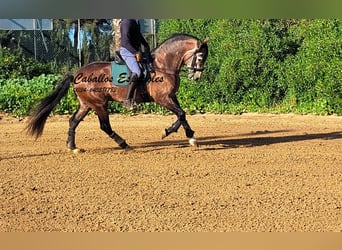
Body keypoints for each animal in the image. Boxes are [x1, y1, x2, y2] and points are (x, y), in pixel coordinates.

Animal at [26, 32, 208, 151]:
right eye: (200, 57)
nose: (196, 77)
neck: (162, 65)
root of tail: (76, 74)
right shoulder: (162, 98)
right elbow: (181, 113)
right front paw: (175, 134)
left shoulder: (171, 97)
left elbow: (181, 114)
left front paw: (186, 135)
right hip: (99, 104)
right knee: (105, 126)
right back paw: (124, 144)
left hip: (86, 104)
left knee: (73, 121)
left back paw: (73, 147)